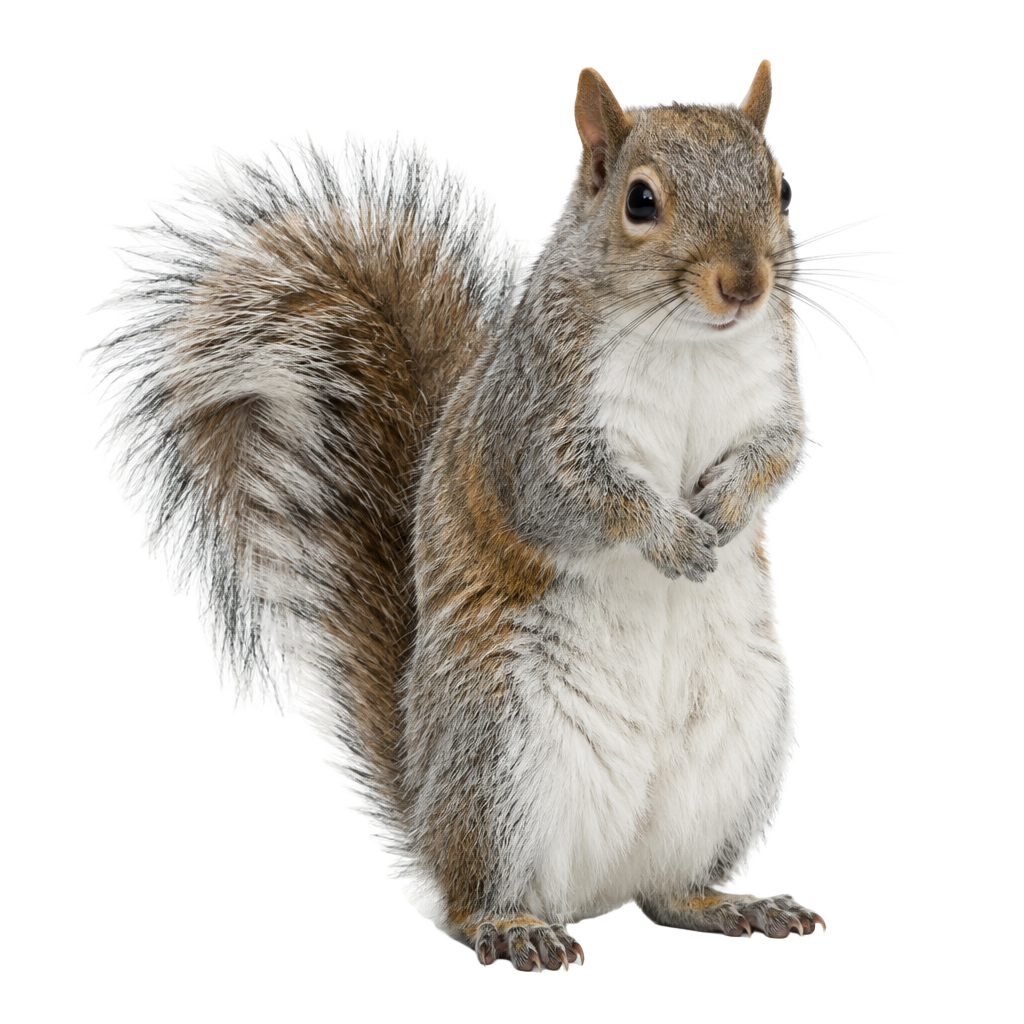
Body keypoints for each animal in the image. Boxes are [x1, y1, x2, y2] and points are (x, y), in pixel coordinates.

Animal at [103, 61, 825, 971]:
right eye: (641, 201)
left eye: (784, 188)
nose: (746, 283)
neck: (694, 341)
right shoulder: (532, 426)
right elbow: (575, 499)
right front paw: (670, 535)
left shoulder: (773, 392)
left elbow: (777, 454)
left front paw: (725, 510)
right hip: (499, 746)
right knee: (472, 893)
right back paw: (514, 925)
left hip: (737, 744)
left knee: (668, 890)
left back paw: (732, 903)